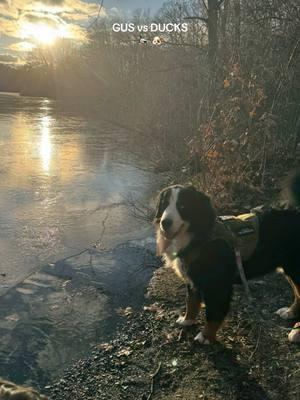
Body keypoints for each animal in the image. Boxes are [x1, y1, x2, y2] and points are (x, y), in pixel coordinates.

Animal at [155, 174, 300, 344]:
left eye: (183, 206)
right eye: (164, 204)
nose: (165, 222)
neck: (200, 235)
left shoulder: (217, 285)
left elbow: (213, 313)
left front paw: (206, 336)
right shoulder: (192, 279)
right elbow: (191, 301)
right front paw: (187, 320)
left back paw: (297, 331)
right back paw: (290, 312)